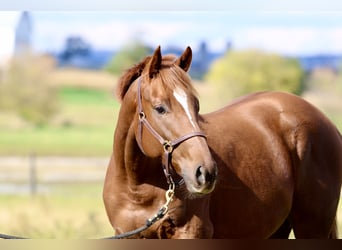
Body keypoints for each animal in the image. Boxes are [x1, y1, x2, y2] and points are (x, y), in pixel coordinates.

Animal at [103, 45, 342, 238]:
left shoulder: (192, 232)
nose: (205, 172)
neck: (137, 186)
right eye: (160, 108)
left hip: (312, 226)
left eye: (196, 105)